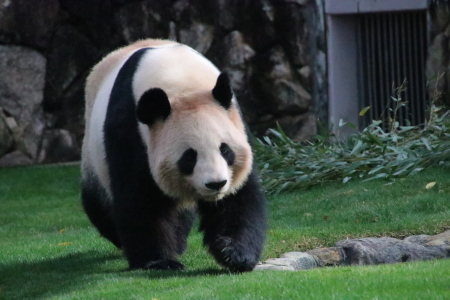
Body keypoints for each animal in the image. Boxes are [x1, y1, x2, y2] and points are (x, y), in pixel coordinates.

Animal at [80, 38, 266, 272]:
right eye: (189, 156)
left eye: (225, 150)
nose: (216, 184)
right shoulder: (130, 131)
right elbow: (141, 198)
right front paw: (158, 261)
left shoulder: (235, 121)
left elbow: (238, 197)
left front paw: (235, 253)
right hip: (92, 153)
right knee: (97, 202)